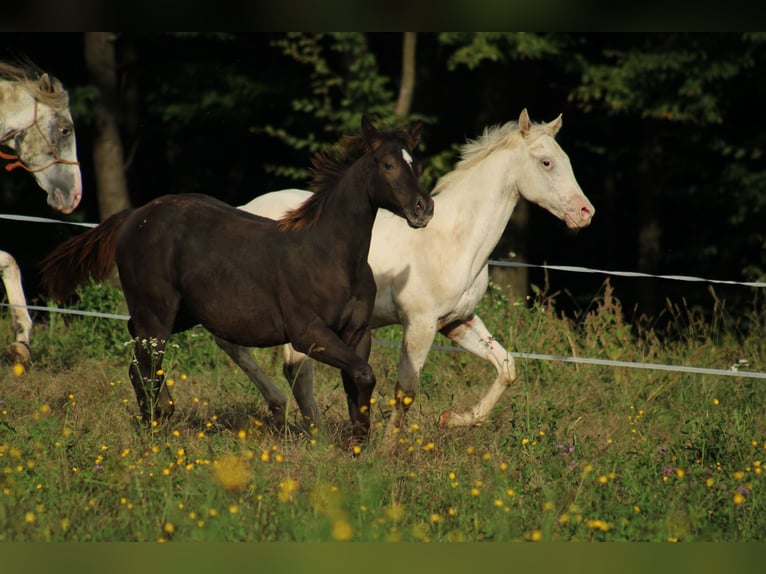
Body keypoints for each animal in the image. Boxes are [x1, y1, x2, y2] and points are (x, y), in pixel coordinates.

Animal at [43, 116, 432, 440]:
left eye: (416, 163)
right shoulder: (308, 333)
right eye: (388, 164)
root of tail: (134, 216)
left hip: (181, 313)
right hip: (157, 312)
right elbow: (363, 374)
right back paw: (155, 423)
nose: (423, 208)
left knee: (137, 352)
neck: (331, 257)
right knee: (147, 361)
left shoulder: (357, 333)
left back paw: (161, 412)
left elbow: (358, 381)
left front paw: (359, 446)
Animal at [228, 108, 592, 436]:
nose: (585, 212)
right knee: (266, 359)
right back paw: (293, 416)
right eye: (546, 163)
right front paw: (389, 448)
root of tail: (243, 208)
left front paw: (454, 419)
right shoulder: (419, 324)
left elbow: (506, 366)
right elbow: (406, 390)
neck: (453, 240)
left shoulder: (458, 321)